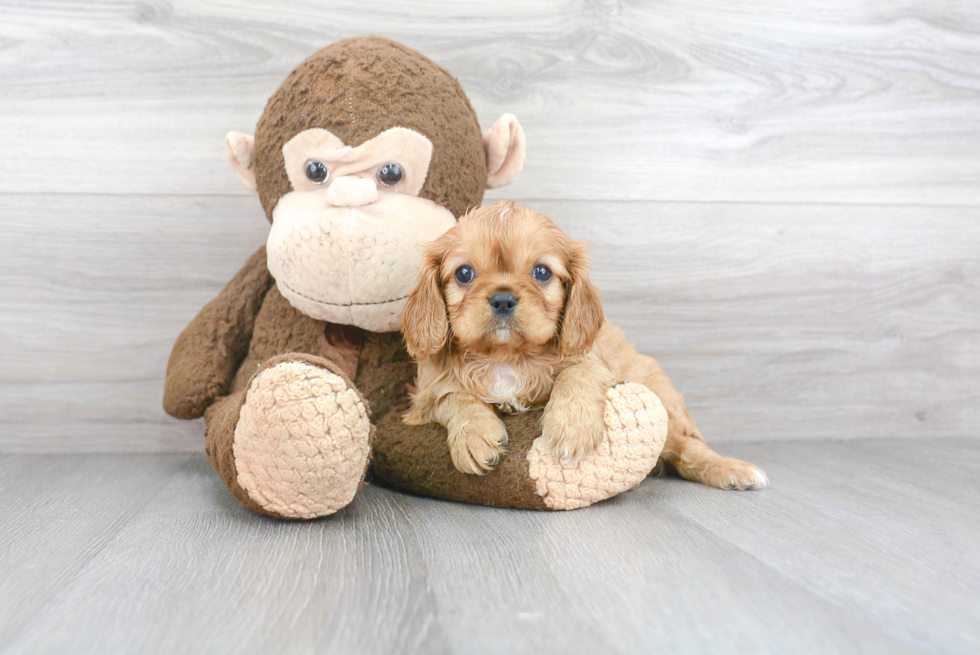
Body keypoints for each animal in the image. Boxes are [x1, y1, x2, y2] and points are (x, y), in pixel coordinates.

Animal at [398, 202, 764, 490]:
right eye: (464, 274)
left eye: (542, 272)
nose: (503, 299)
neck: (507, 357)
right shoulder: (423, 398)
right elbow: (453, 396)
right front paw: (475, 435)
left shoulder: (596, 361)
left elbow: (577, 373)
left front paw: (571, 428)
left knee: (687, 448)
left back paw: (732, 470)